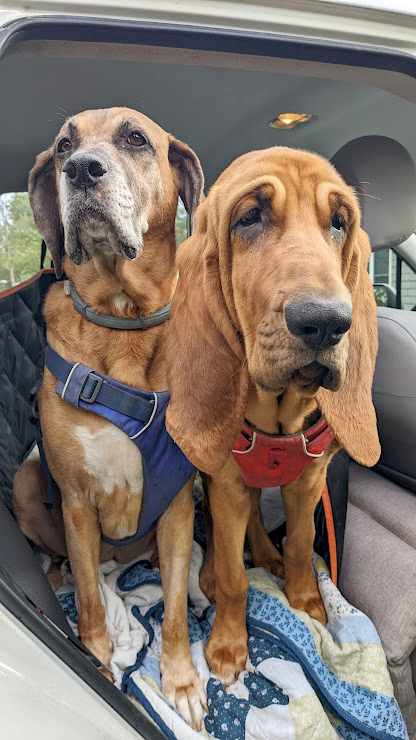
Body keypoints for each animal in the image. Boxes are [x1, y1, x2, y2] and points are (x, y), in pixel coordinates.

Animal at [21, 110, 206, 728]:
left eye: (135, 138)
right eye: (62, 146)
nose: (81, 170)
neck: (124, 323)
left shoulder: (177, 504)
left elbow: (173, 608)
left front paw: (181, 680)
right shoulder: (77, 500)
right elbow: (89, 603)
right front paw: (99, 658)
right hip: (28, 479)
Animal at [165, 147, 380, 684]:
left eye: (340, 222)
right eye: (250, 217)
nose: (326, 323)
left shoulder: (307, 483)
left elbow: (302, 545)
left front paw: (308, 605)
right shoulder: (225, 484)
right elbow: (233, 575)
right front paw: (227, 644)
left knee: (262, 527)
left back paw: (268, 556)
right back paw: (209, 574)